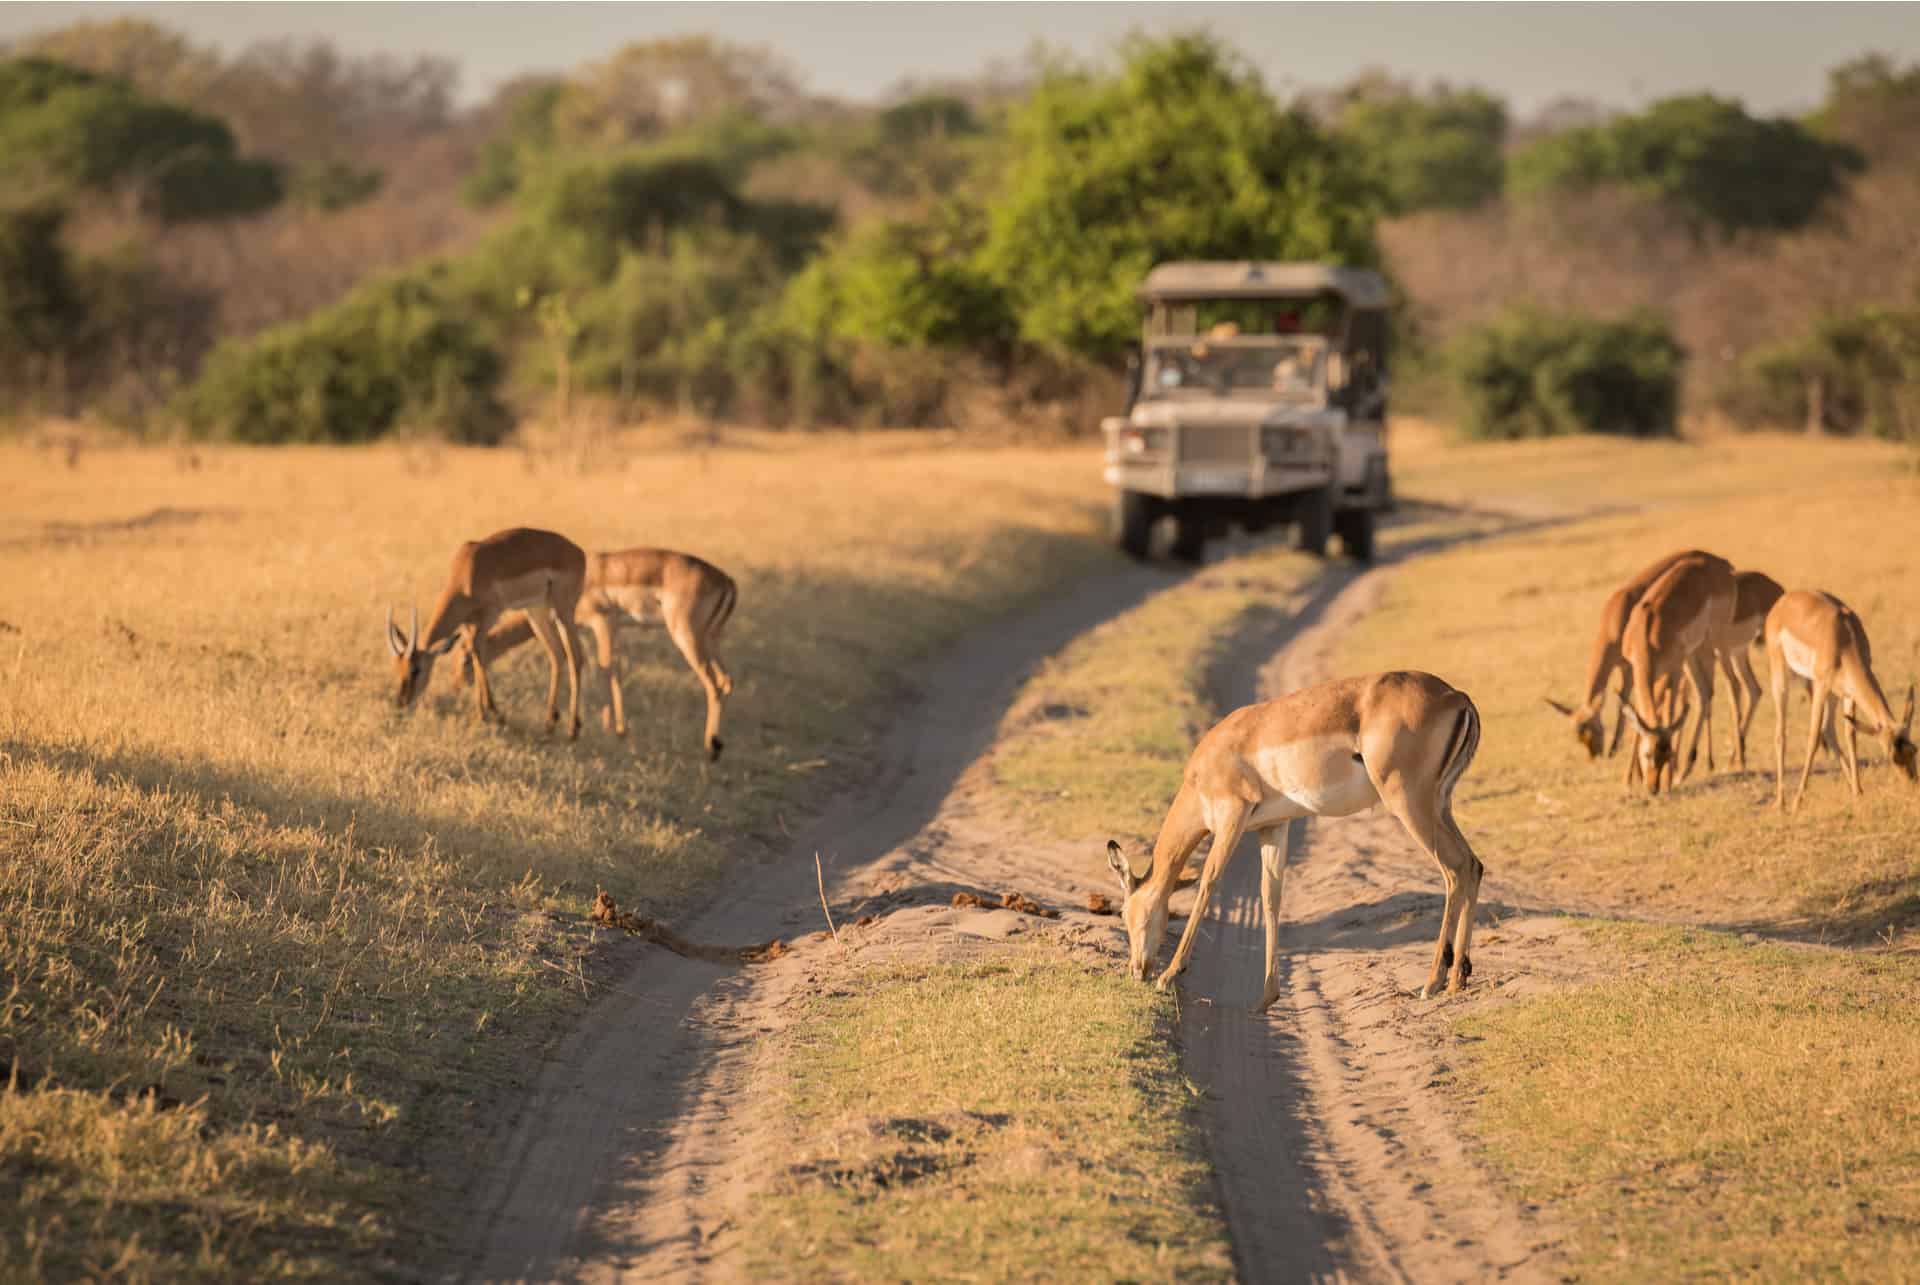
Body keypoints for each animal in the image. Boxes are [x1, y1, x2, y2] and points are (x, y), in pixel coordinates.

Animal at [387, 522, 583, 741]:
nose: (401, 701)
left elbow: (479, 654)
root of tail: (578, 552)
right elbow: (474, 654)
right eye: (397, 668)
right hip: (536, 611)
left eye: (416, 669)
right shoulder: (468, 624)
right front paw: (482, 713)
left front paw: (492, 714)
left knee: (576, 657)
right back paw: (549, 724)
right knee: (557, 654)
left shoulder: (490, 615)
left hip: (563, 610)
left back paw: (573, 730)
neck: (467, 571)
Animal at [464, 545, 733, 760]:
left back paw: (711, 748)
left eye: (465, 655)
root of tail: (728, 582)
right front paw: (617, 729)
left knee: (713, 684)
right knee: (726, 681)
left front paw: (609, 729)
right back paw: (718, 744)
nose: (459, 683)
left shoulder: (601, 622)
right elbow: (610, 670)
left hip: (686, 637)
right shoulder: (603, 630)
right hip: (711, 640)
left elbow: (605, 669)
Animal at [1105, 668, 1489, 1006]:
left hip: (1409, 804)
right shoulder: (1273, 827)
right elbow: (1270, 897)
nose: (1136, 971)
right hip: (1439, 805)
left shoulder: (1232, 816)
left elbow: (1209, 883)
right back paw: (1457, 980)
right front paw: (1266, 997)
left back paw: (1431, 983)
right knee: (1473, 864)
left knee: (1454, 869)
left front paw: (1169, 975)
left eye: (1124, 913)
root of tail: (1457, 696)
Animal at [1620, 553, 1743, 791]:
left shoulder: (1674, 670)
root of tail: (1723, 565)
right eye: (1648, 754)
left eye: (1666, 754)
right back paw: (1686, 769)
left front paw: (1668, 780)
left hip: (1717, 642)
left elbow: (1669, 711)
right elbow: (1640, 712)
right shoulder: (1639, 670)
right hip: (1695, 652)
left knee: (1734, 685)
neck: (1647, 633)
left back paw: (1739, 761)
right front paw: (1630, 778)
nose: (1653, 788)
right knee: (1705, 692)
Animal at [1766, 587, 1920, 806]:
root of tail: (1784, 601)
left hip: (1834, 693)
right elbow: (1813, 739)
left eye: (1914, 749)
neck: (1844, 638)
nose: (1913, 786)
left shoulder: (1849, 694)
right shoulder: (1820, 686)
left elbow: (1851, 735)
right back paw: (1781, 802)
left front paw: (1858, 791)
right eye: (1892, 758)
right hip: (1783, 678)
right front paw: (1797, 801)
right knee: (1781, 733)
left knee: (1829, 729)